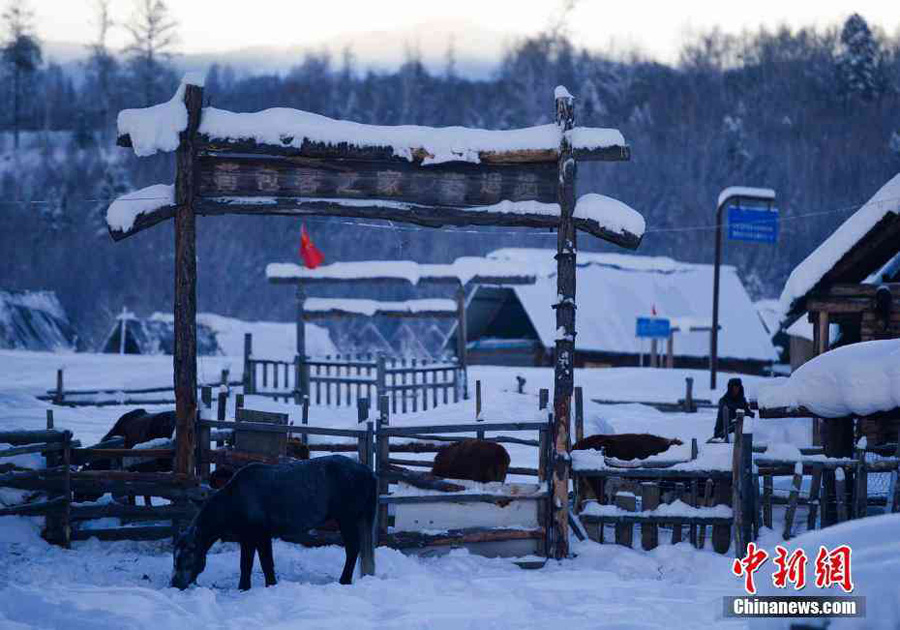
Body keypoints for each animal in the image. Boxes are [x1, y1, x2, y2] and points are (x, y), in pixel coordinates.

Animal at [171, 454, 374, 592]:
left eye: (187, 555)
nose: (174, 583)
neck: (236, 499)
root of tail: (368, 472)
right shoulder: (254, 537)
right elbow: (256, 563)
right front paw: (256, 586)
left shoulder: (258, 536)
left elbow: (258, 564)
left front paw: (257, 586)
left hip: (346, 520)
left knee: (352, 549)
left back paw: (344, 580)